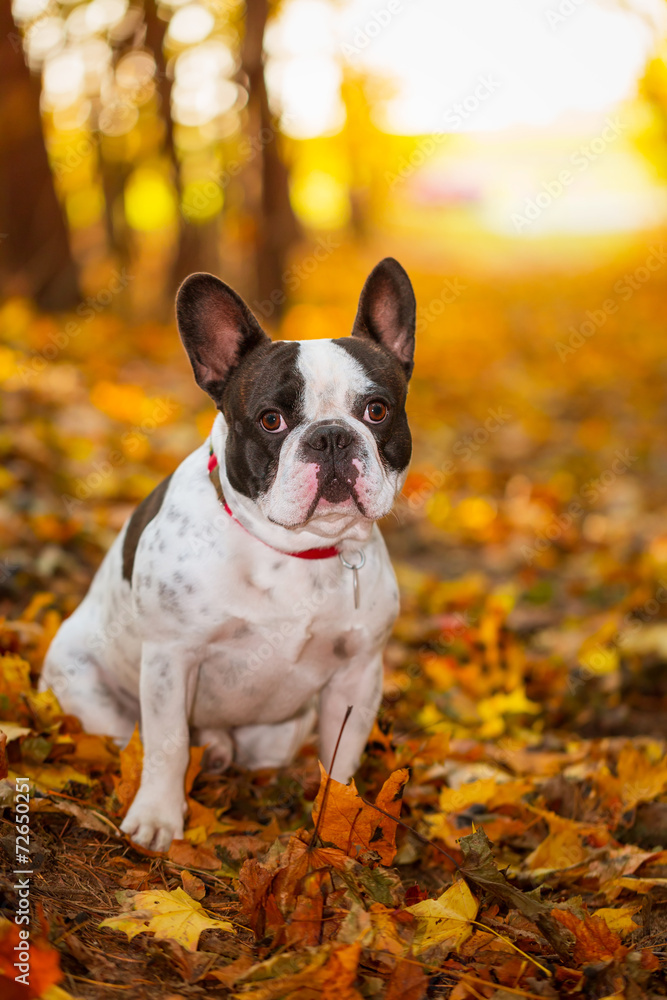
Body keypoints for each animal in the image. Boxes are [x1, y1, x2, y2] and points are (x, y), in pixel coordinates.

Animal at [40, 256, 418, 844]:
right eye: (271, 420)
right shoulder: (172, 658)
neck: (298, 550)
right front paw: (158, 818)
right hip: (83, 688)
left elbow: (342, 761)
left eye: (377, 411)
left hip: (283, 731)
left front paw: (337, 824)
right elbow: (168, 743)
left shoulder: (358, 674)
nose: (332, 435)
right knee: (133, 738)